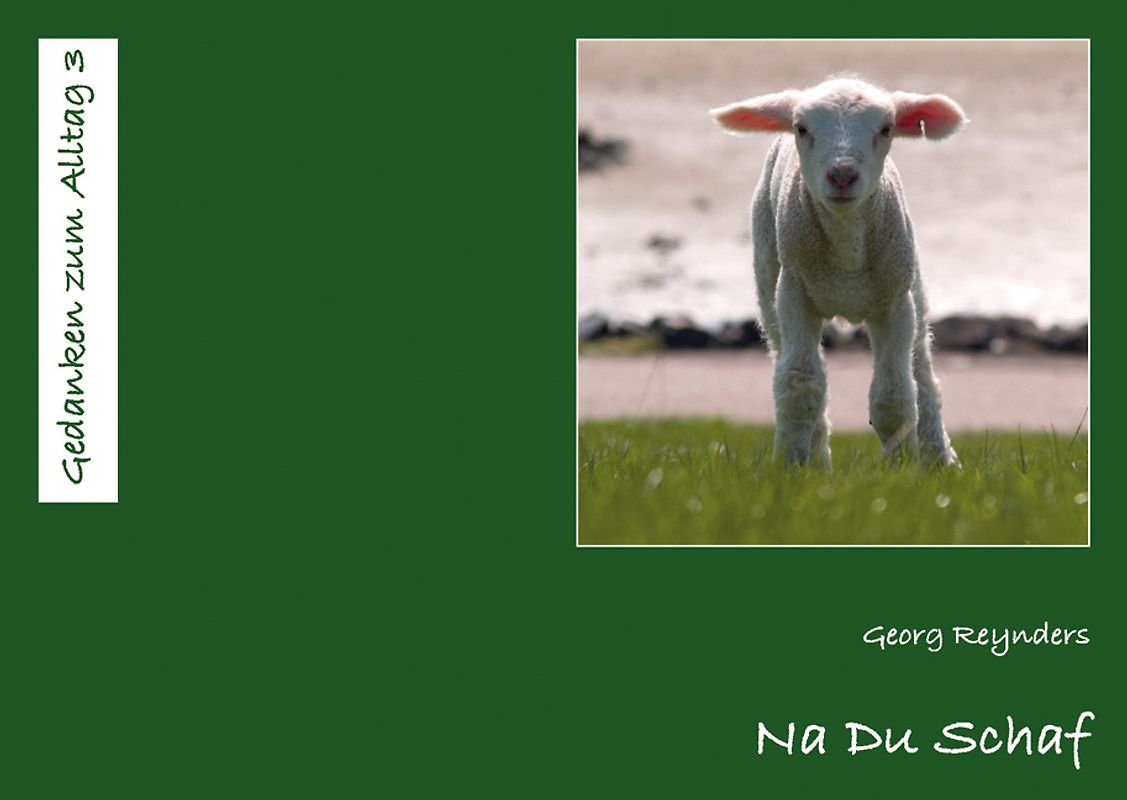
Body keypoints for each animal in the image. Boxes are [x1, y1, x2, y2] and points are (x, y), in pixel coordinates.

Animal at [710, 76, 964, 468]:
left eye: (886, 129)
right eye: (801, 129)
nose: (842, 175)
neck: (847, 255)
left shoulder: (894, 303)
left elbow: (893, 395)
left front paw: (903, 471)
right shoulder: (794, 294)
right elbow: (800, 383)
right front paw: (792, 468)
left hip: (913, 288)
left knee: (922, 373)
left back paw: (940, 460)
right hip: (768, 280)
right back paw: (817, 459)